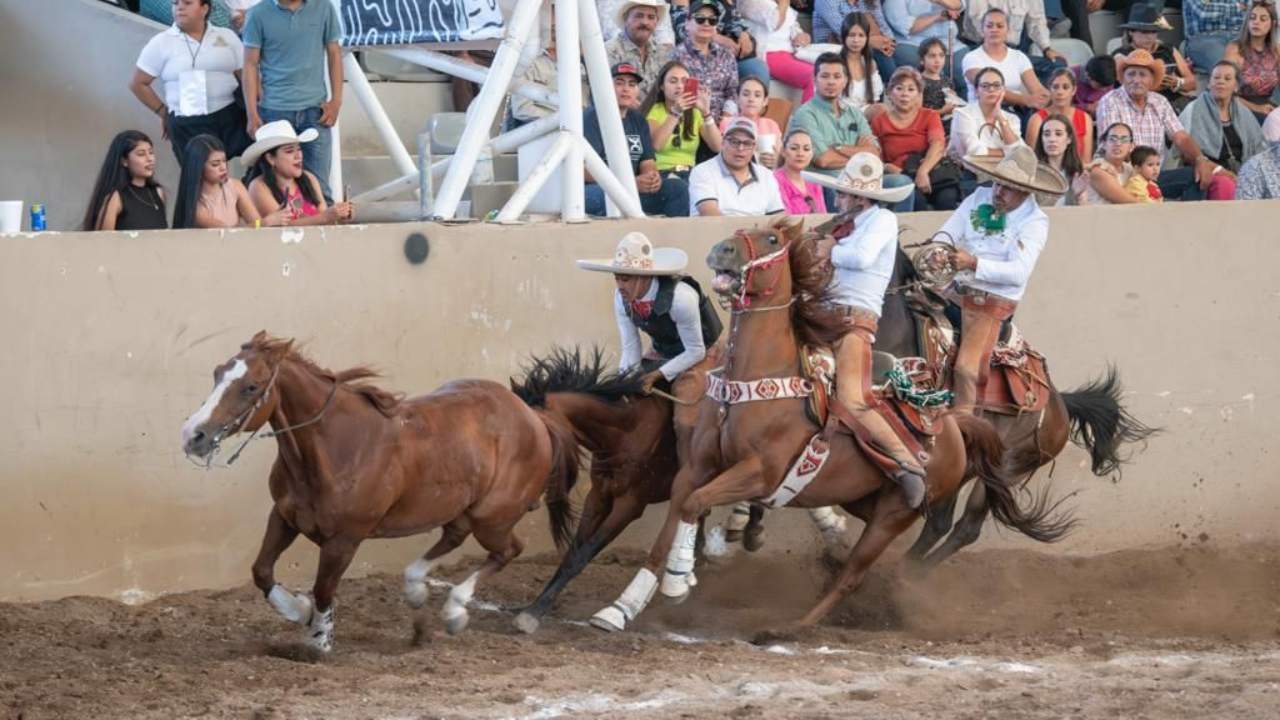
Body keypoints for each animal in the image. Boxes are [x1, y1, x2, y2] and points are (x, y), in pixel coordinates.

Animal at [180, 330, 581, 650]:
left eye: (251, 386)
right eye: (217, 373)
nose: (193, 435)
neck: (337, 447)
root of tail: (534, 417)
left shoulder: (345, 538)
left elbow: (323, 589)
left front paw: (319, 640)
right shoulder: (284, 516)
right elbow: (262, 571)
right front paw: (300, 611)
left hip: (492, 516)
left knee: (507, 550)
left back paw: (454, 611)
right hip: (461, 508)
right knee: (454, 536)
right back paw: (416, 588)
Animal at [588, 215, 1070, 630]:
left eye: (771, 240)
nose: (722, 250)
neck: (754, 383)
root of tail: (953, 425)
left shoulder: (759, 473)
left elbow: (695, 504)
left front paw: (680, 581)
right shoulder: (698, 466)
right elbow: (674, 520)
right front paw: (623, 606)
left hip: (898, 513)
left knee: (864, 568)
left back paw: (794, 625)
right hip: (865, 499)